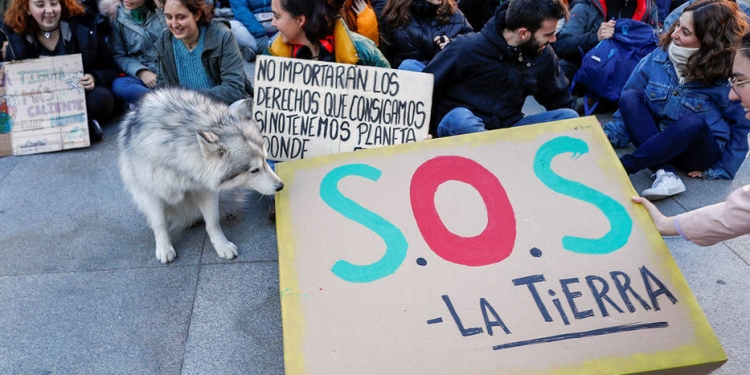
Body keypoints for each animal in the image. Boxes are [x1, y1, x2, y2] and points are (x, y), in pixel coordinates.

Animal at [120, 88, 284, 264]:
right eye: (254, 170)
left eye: (266, 160)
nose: (281, 186)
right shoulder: (150, 193)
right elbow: (160, 222)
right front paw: (164, 248)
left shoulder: (205, 189)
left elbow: (212, 221)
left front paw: (222, 245)